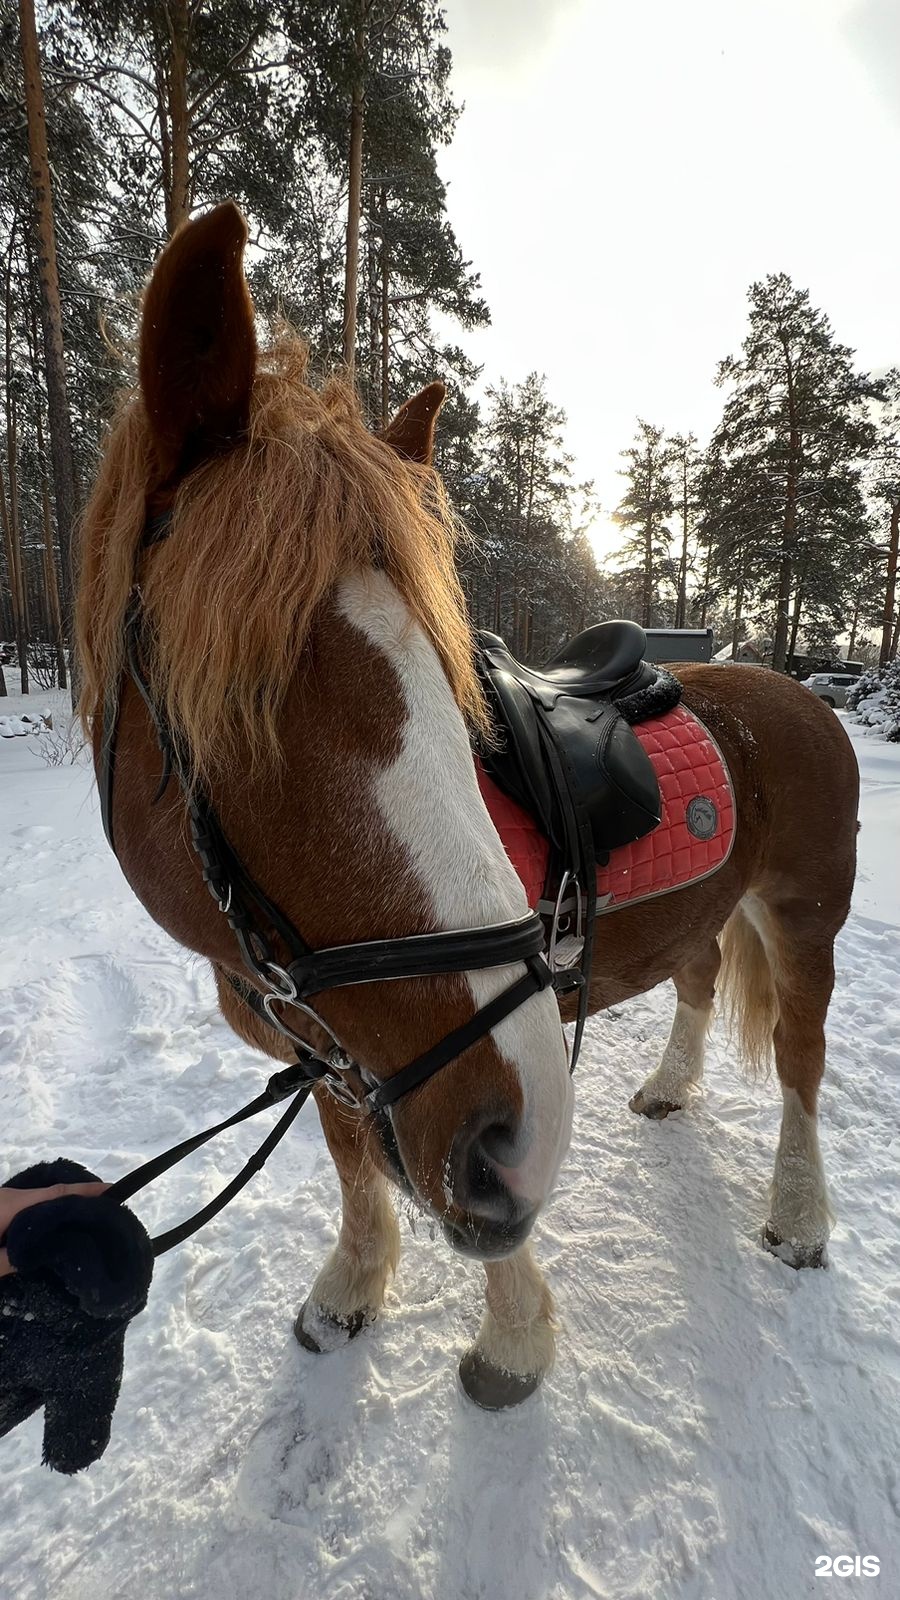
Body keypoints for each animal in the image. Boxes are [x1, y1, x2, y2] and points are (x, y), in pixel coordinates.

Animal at [75, 203, 851, 1414]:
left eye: (452, 693)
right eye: (248, 701)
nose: (518, 1133)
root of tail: (799, 691)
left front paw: (514, 1340)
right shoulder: (347, 1055)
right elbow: (355, 1170)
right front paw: (350, 1287)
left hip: (806, 915)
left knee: (801, 1058)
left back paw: (801, 1213)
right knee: (697, 973)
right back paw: (670, 1086)